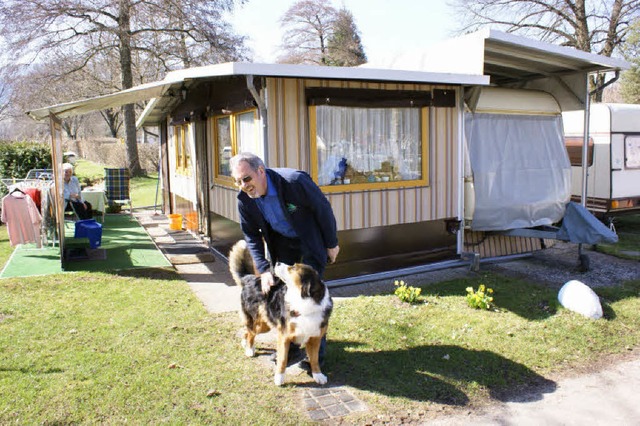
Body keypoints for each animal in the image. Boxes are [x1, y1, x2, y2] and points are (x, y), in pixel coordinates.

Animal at [228, 240, 332, 386]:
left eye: (293, 268)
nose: (277, 262)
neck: (304, 304)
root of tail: (251, 278)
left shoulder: (315, 337)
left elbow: (315, 359)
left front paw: (318, 375)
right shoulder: (284, 336)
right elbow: (282, 360)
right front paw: (279, 378)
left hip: (265, 325)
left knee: (247, 331)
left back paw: (245, 343)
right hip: (260, 324)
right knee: (251, 332)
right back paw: (249, 349)